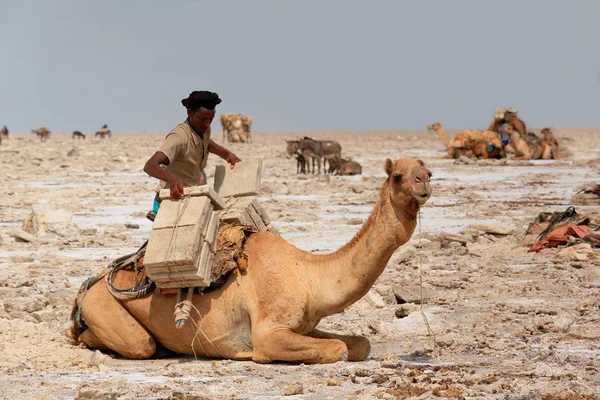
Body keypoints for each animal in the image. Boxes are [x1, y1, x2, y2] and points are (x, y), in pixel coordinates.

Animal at [69, 158, 432, 364]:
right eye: (398, 176)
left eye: (428, 170)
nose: (424, 182)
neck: (307, 274)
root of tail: (91, 285)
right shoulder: (269, 332)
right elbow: (338, 350)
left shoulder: (305, 324)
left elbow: (360, 343)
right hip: (103, 306)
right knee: (136, 343)